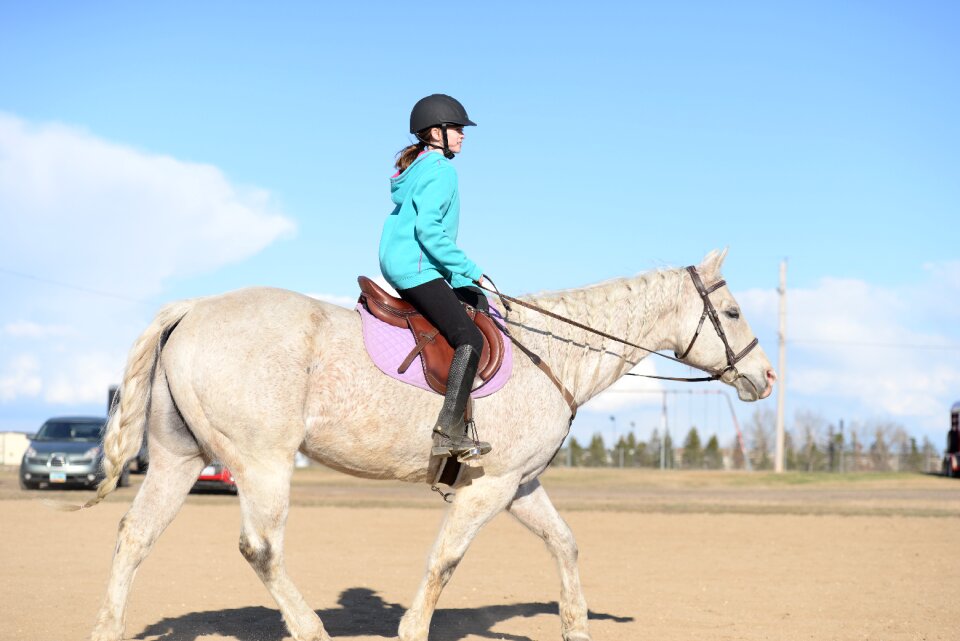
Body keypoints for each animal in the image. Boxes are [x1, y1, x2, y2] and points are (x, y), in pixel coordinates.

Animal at [82, 250, 772, 640]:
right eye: (736, 313)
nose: (765, 378)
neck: (551, 354)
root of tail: (194, 308)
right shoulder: (489, 488)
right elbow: (444, 562)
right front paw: (412, 629)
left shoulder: (518, 485)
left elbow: (565, 544)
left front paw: (576, 626)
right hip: (262, 463)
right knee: (261, 550)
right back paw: (310, 630)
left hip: (179, 460)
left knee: (134, 536)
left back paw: (108, 629)